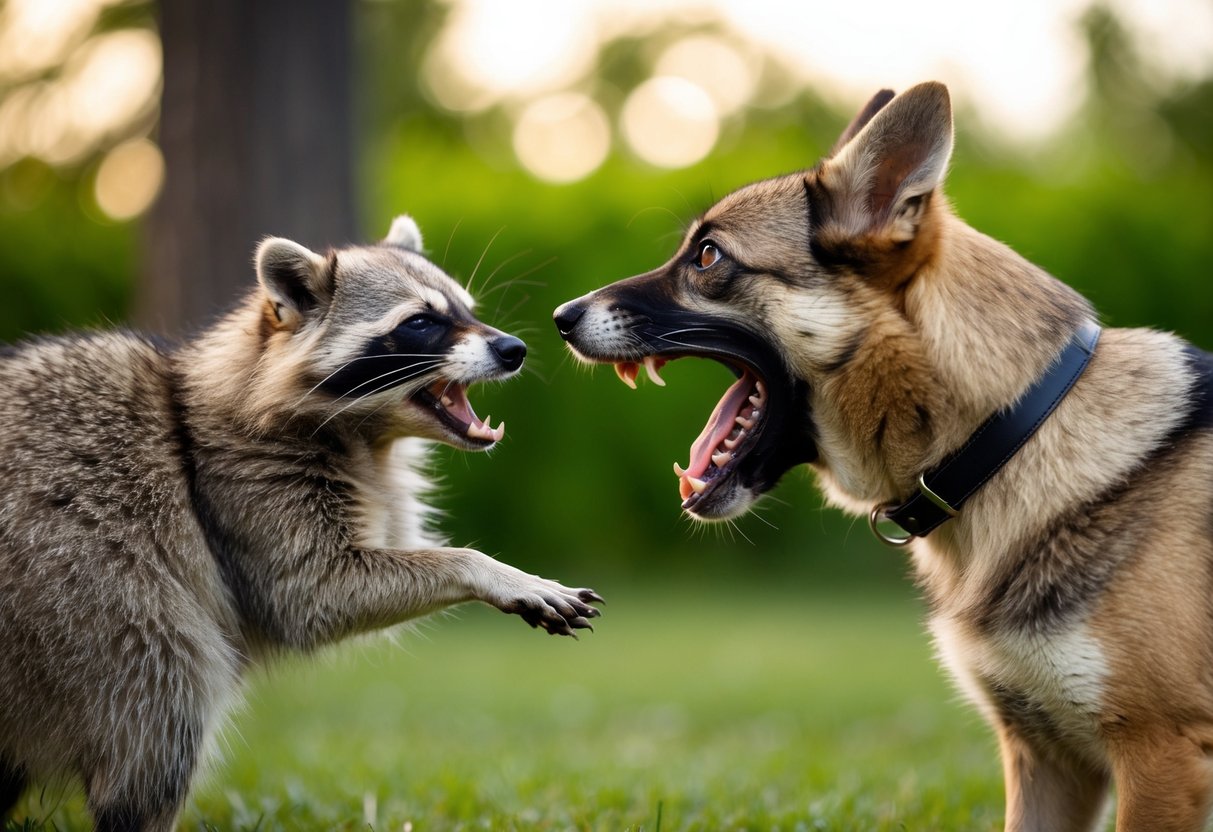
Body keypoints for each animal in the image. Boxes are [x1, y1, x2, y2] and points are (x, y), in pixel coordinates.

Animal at [0, 215, 602, 831]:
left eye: (466, 310)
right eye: (421, 322)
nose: (515, 348)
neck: (370, 438)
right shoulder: (241, 485)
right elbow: (311, 594)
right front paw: (486, 569)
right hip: (90, 605)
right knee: (168, 695)